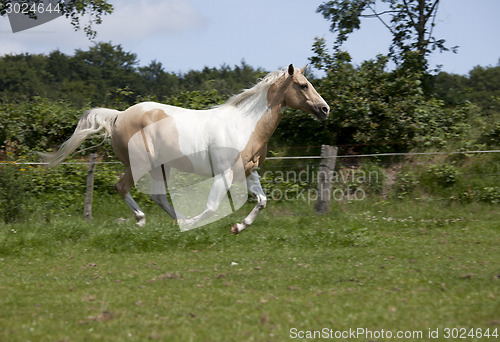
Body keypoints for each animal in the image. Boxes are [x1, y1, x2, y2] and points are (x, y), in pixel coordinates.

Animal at [46, 64, 328, 234]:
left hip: (161, 167)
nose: (324, 109)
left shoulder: (248, 171)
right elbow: (212, 207)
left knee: (157, 195)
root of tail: (118, 116)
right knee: (123, 187)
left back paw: (176, 220)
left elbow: (261, 201)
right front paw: (197, 223)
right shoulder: (224, 174)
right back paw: (146, 220)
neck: (244, 125)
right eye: (303, 85)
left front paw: (238, 227)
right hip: (142, 165)